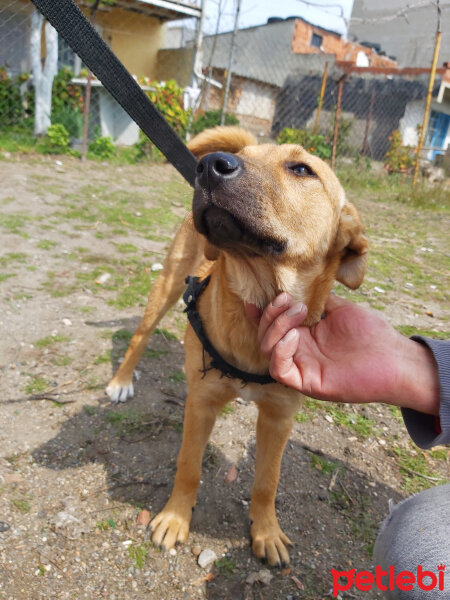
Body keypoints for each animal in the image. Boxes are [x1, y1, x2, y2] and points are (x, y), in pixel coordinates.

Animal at [106, 126, 370, 568]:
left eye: (302, 169)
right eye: (243, 156)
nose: (210, 166)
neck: (256, 310)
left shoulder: (279, 418)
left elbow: (267, 481)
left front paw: (266, 532)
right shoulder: (201, 402)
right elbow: (188, 466)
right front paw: (175, 518)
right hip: (166, 287)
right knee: (140, 337)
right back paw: (121, 381)